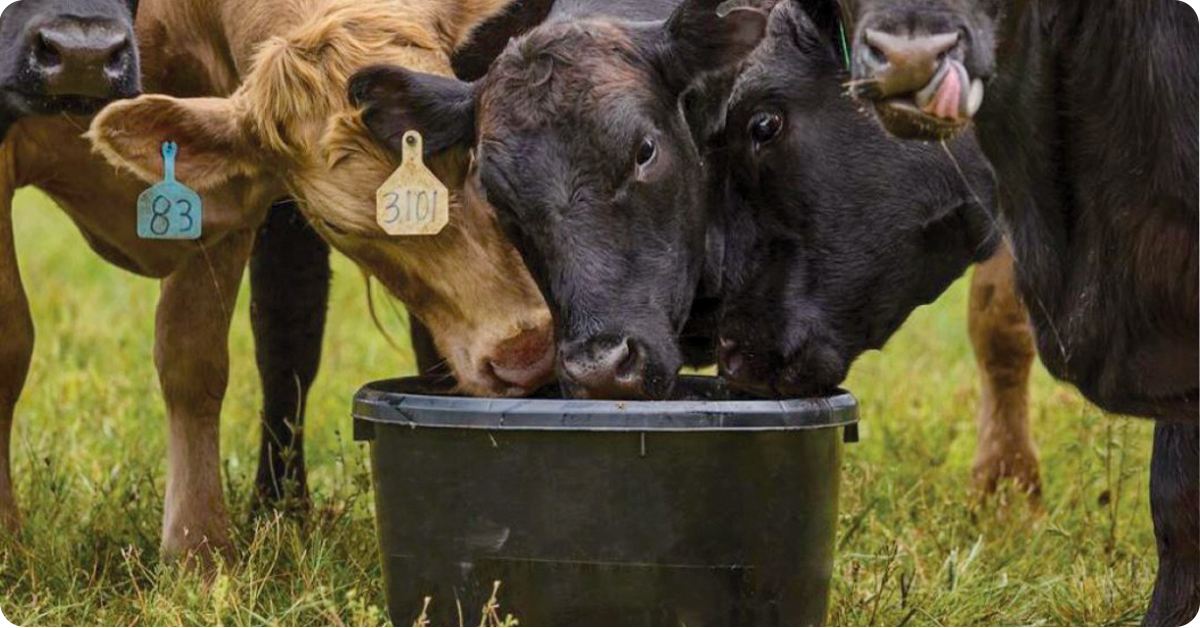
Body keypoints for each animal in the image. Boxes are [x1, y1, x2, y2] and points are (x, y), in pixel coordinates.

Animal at [2, 0, 552, 562]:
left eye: (471, 152)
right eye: (336, 221)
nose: (523, 351)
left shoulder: (227, 203)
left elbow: (194, 359)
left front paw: (198, 548)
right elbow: (12, 349)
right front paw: (8, 541)